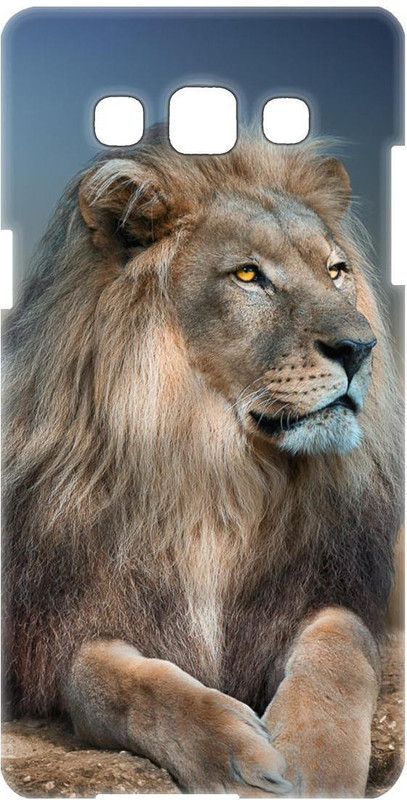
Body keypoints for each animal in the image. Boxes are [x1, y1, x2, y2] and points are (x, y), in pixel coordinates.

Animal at [2, 129, 402, 797]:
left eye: (336, 271)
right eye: (248, 275)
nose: (360, 346)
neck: (216, 474)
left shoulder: (323, 591)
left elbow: (342, 645)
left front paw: (315, 763)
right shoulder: (60, 628)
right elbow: (115, 681)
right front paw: (238, 757)